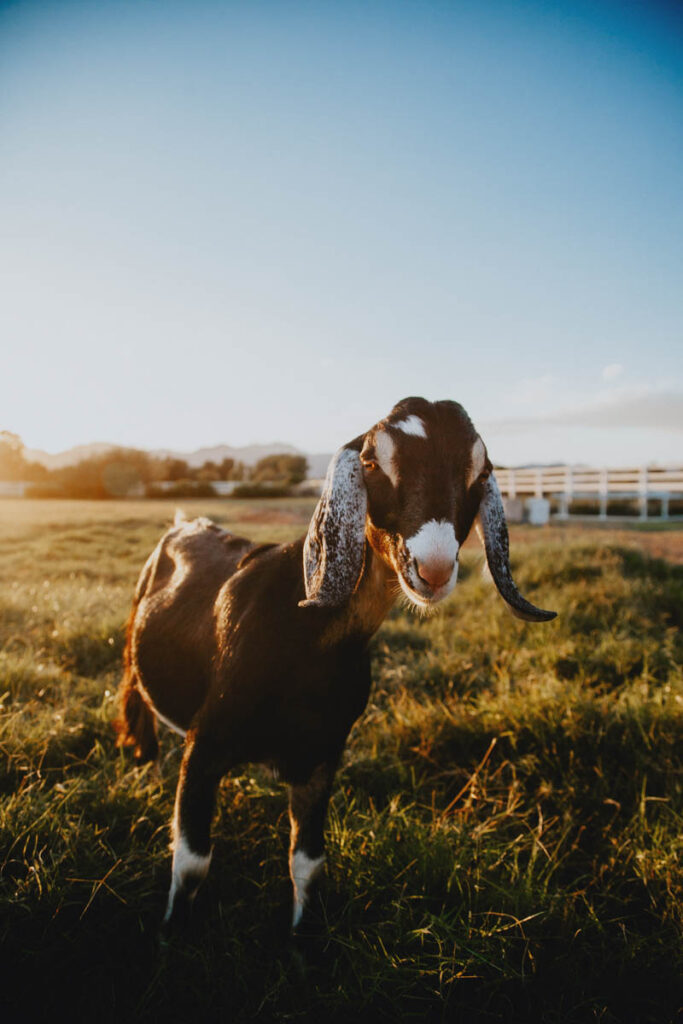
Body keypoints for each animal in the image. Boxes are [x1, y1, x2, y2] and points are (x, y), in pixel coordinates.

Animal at [117, 395, 557, 933]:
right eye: (371, 463)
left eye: (480, 472)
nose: (432, 570)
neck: (304, 639)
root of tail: (185, 522)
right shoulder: (204, 746)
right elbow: (193, 863)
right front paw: (171, 934)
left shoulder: (323, 755)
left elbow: (309, 863)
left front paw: (302, 937)